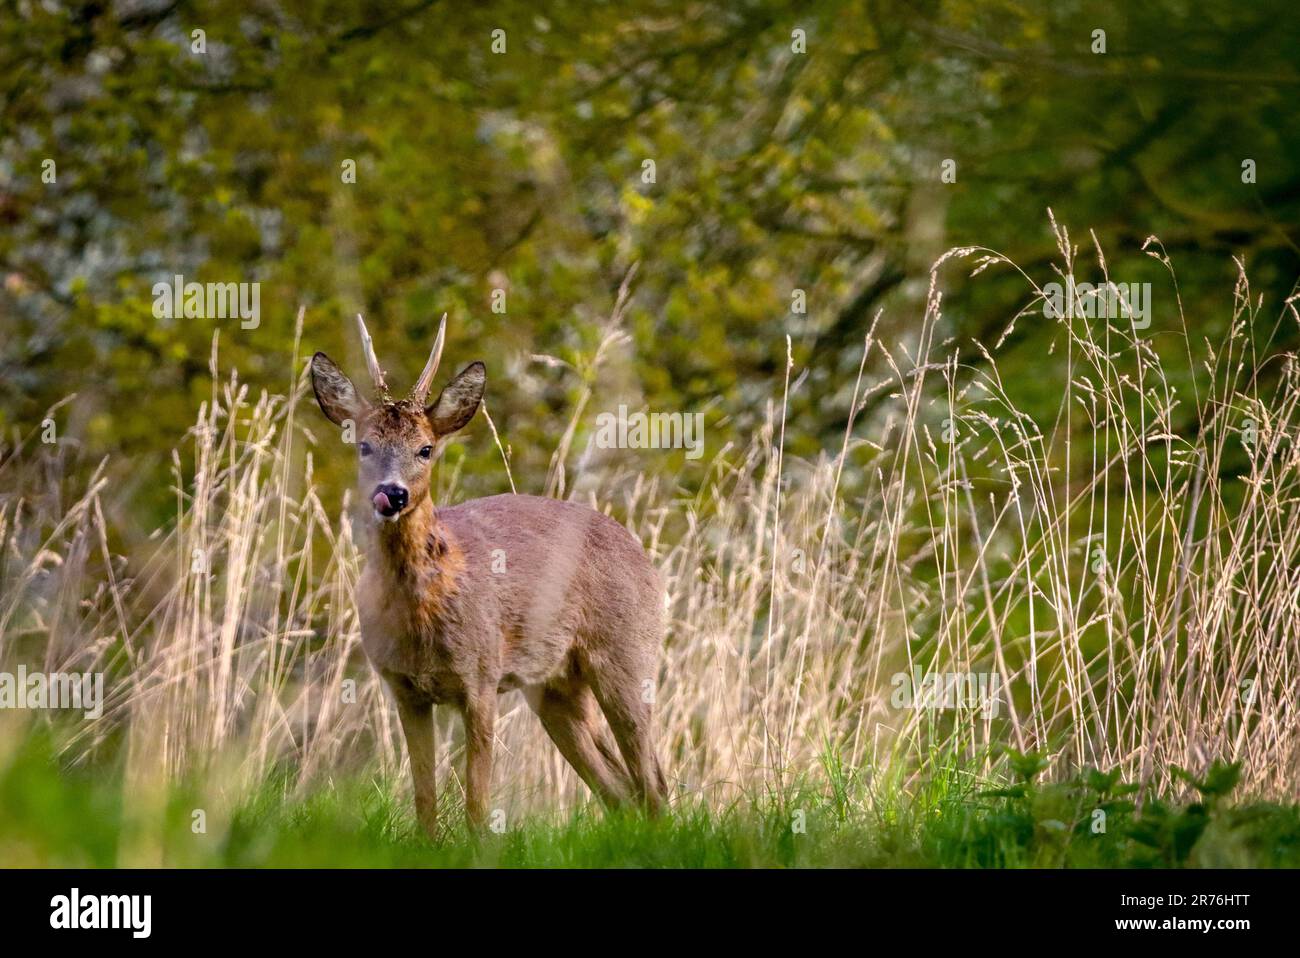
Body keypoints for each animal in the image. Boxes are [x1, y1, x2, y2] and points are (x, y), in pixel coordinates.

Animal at [308, 311, 665, 831]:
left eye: (426, 449)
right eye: (364, 446)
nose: (391, 493)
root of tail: (645, 559)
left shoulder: (481, 677)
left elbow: (477, 800)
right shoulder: (404, 689)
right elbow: (425, 798)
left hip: (627, 653)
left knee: (653, 778)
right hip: (555, 687)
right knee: (619, 788)